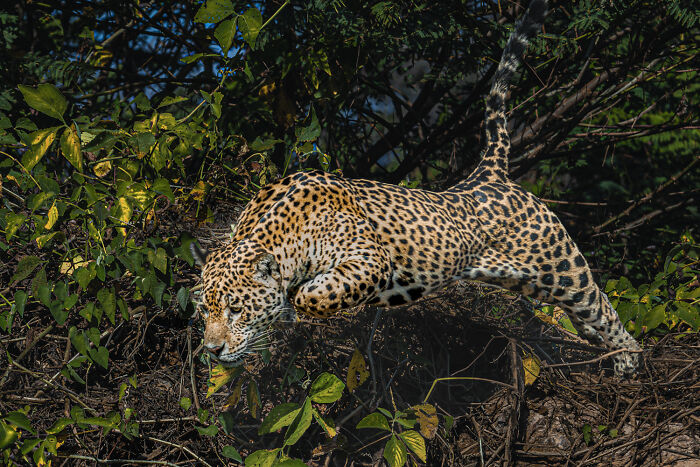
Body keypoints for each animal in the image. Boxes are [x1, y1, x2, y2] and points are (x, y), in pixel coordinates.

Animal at [191, 0, 640, 377]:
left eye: (236, 310)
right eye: (203, 311)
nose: (212, 350)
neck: (282, 230)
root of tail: (489, 173)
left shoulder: (370, 259)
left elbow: (312, 296)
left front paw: (297, 298)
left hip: (562, 268)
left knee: (600, 304)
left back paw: (628, 361)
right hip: (519, 277)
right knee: (584, 314)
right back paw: (595, 342)